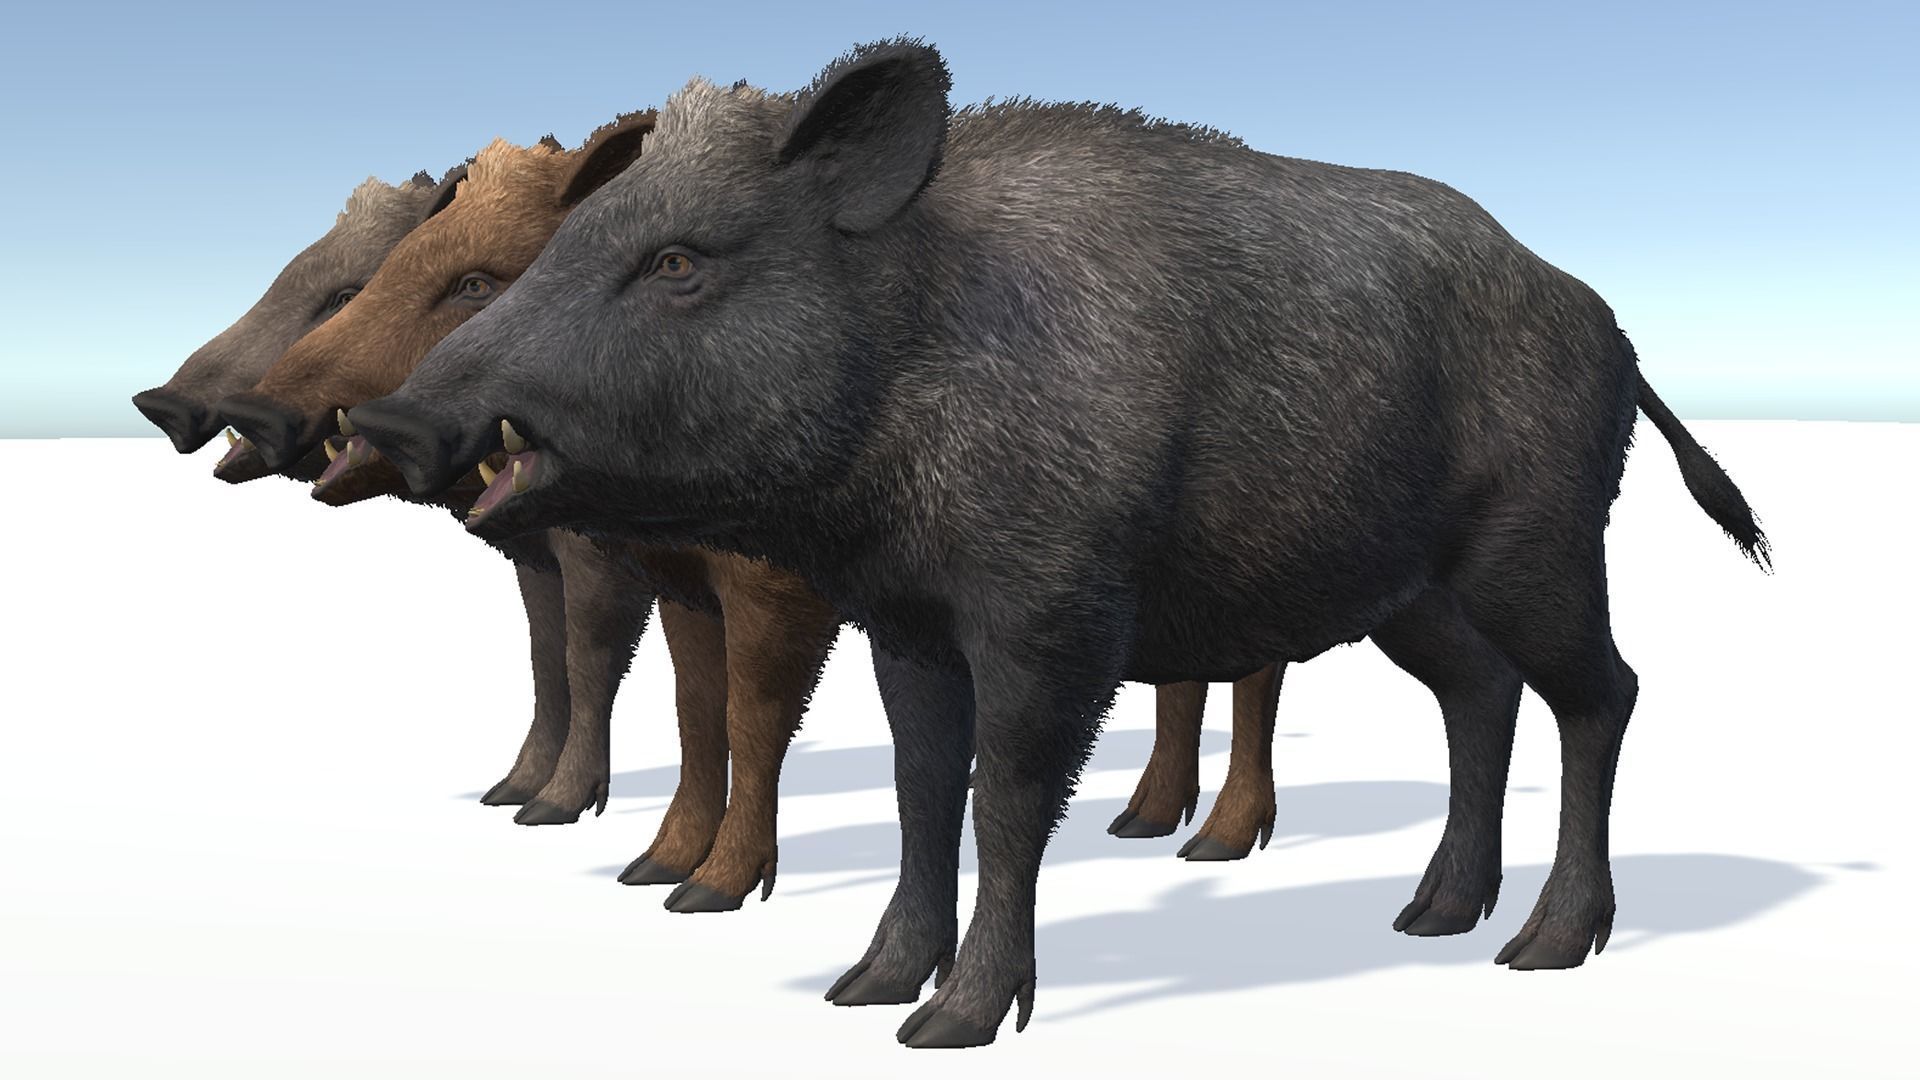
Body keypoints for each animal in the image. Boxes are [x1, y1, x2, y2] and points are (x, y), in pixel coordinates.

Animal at [345, 40, 1771, 1048]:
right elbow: (924, 789)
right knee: (1481, 695)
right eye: (569, 247)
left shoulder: (1053, 614)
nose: (396, 416)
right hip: (1407, 595)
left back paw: (1544, 946)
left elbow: (1010, 797)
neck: (910, 351)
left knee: (1603, 691)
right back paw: (1430, 918)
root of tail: (1614, 334)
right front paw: (863, 992)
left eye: (679, 261)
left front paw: (951, 1026)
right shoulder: (907, 622)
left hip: (1538, 545)